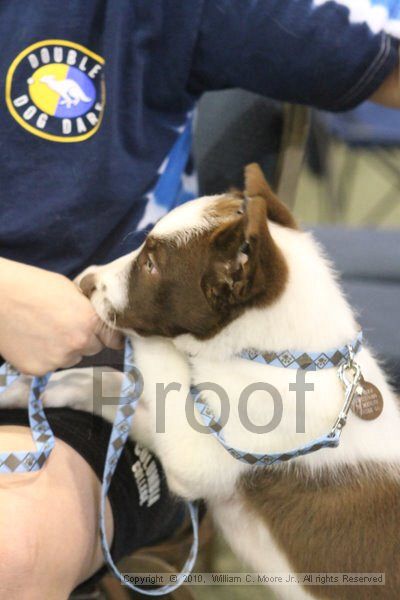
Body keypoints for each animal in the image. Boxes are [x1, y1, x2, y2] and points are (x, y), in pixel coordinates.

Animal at [3, 163, 400, 596]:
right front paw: (22, 391)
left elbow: (162, 375)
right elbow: (107, 386)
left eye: (151, 265)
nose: (85, 281)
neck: (279, 358)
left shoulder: (200, 457)